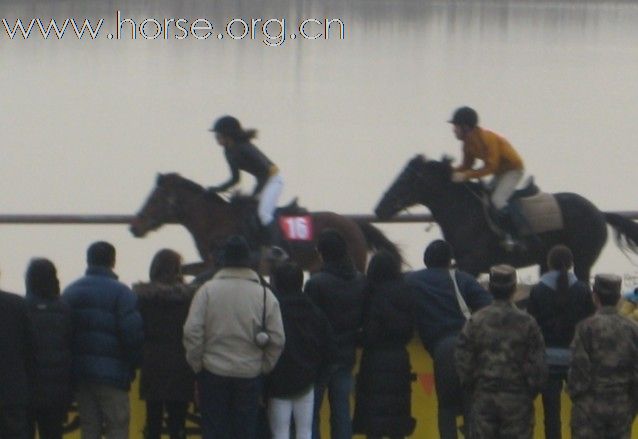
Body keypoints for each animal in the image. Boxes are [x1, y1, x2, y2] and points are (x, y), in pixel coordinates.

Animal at [376, 155, 638, 282]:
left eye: (406, 178)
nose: (380, 208)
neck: (464, 212)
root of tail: (600, 213)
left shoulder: (471, 265)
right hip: (549, 260)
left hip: (583, 261)